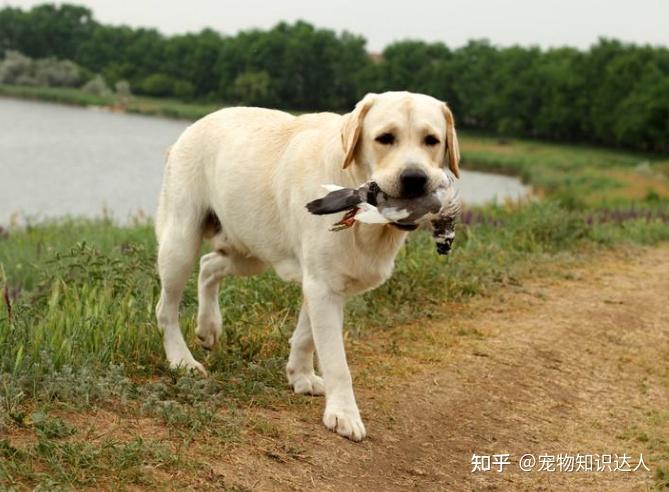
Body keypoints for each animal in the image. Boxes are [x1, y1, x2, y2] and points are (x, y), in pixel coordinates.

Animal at [155, 91, 460, 442]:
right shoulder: (323, 286)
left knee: (208, 266)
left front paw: (300, 376)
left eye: (431, 140)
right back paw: (181, 360)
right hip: (180, 243)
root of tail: (195, 125)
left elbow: (306, 336)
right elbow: (336, 360)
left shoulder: (321, 284)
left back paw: (208, 327)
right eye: (385, 138)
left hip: (250, 254)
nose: (414, 179)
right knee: (166, 309)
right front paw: (343, 413)